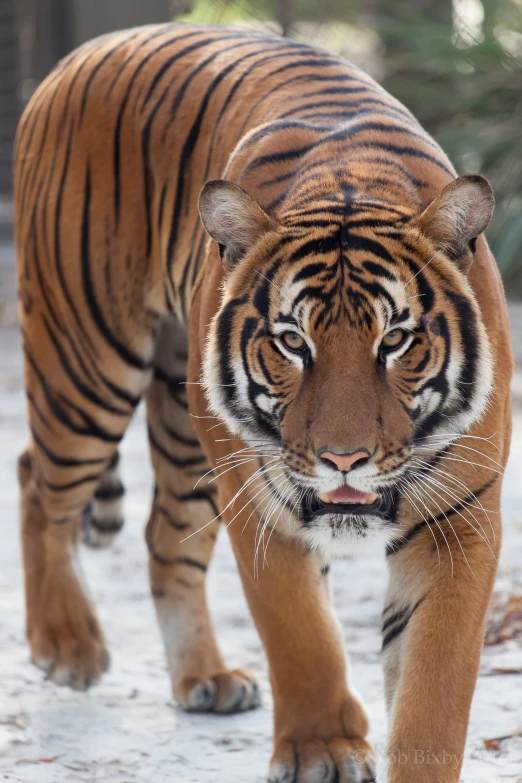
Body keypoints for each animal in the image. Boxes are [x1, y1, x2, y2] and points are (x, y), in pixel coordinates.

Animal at [14, 21, 510, 780]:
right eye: (292, 341)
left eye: (396, 339)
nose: (344, 459)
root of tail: (88, 48)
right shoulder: (260, 496)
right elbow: (298, 629)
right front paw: (323, 748)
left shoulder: (461, 521)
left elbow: (436, 685)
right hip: (86, 359)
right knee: (40, 484)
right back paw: (66, 643)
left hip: (180, 421)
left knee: (162, 532)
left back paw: (204, 678)